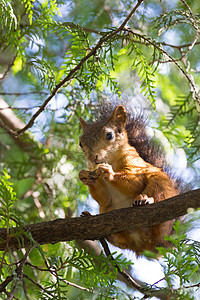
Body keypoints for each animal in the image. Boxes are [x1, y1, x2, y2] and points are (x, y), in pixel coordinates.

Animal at [78, 104, 180, 254]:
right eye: (80, 143)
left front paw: (109, 172)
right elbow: (104, 198)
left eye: (110, 135)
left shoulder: (135, 164)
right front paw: (86, 177)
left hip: (160, 186)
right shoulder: (104, 195)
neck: (112, 160)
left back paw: (145, 200)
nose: (92, 158)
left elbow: (134, 183)